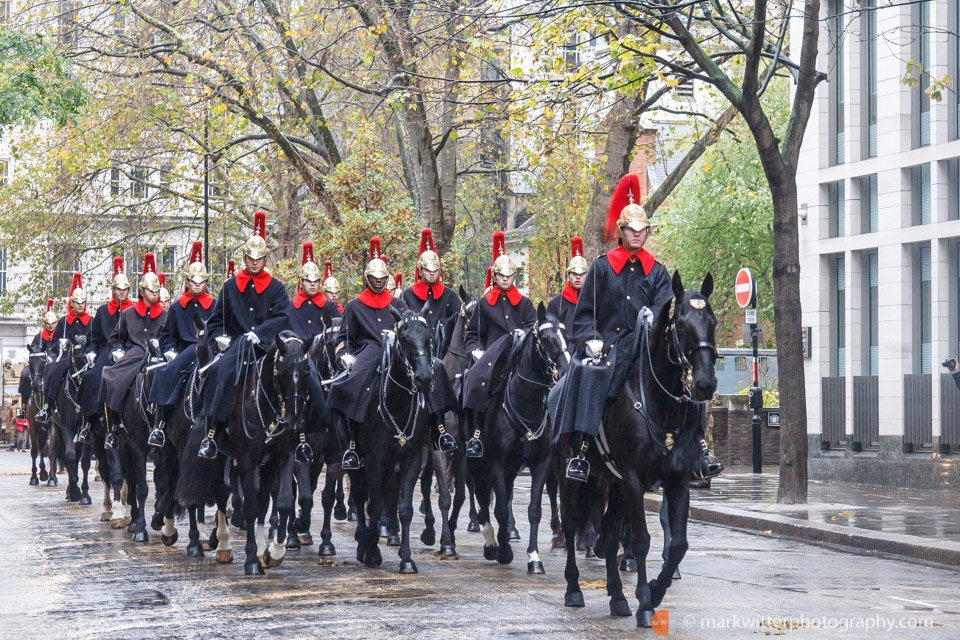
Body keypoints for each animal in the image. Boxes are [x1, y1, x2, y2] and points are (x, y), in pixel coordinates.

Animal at [350, 308, 434, 572]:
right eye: (404, 339)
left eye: (428, 337)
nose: (424, 378)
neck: (398, 403)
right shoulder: (375, 459)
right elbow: (374, 505)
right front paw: (371, 552)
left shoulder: (412, 459)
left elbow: (404, 508)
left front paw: (406, 558)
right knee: (360, 496)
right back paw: (362, 542)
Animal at [466, 304, 568, 568]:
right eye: (545, 338)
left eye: (565, 334)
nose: (565, 370)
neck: (526, 404)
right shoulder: (496, 462)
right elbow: (500, 508)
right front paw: (502, 550)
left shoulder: (541, 464)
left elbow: (533, 509)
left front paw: (534, 557)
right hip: (474, 461)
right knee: (481, 495)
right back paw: (491, 542)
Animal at [552, 272, 716, 628]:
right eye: (681, 323)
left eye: (712, 321)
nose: (705, 384)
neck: (660, 403)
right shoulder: (633, 479)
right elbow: (641, 540)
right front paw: (645, 603)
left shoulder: (676, 480)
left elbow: (678, 544)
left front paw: (654, 590)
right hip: (571, 478)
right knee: (571, 526)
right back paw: (573, 589)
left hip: (612, 483)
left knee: (611, 530)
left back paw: (616, 596)